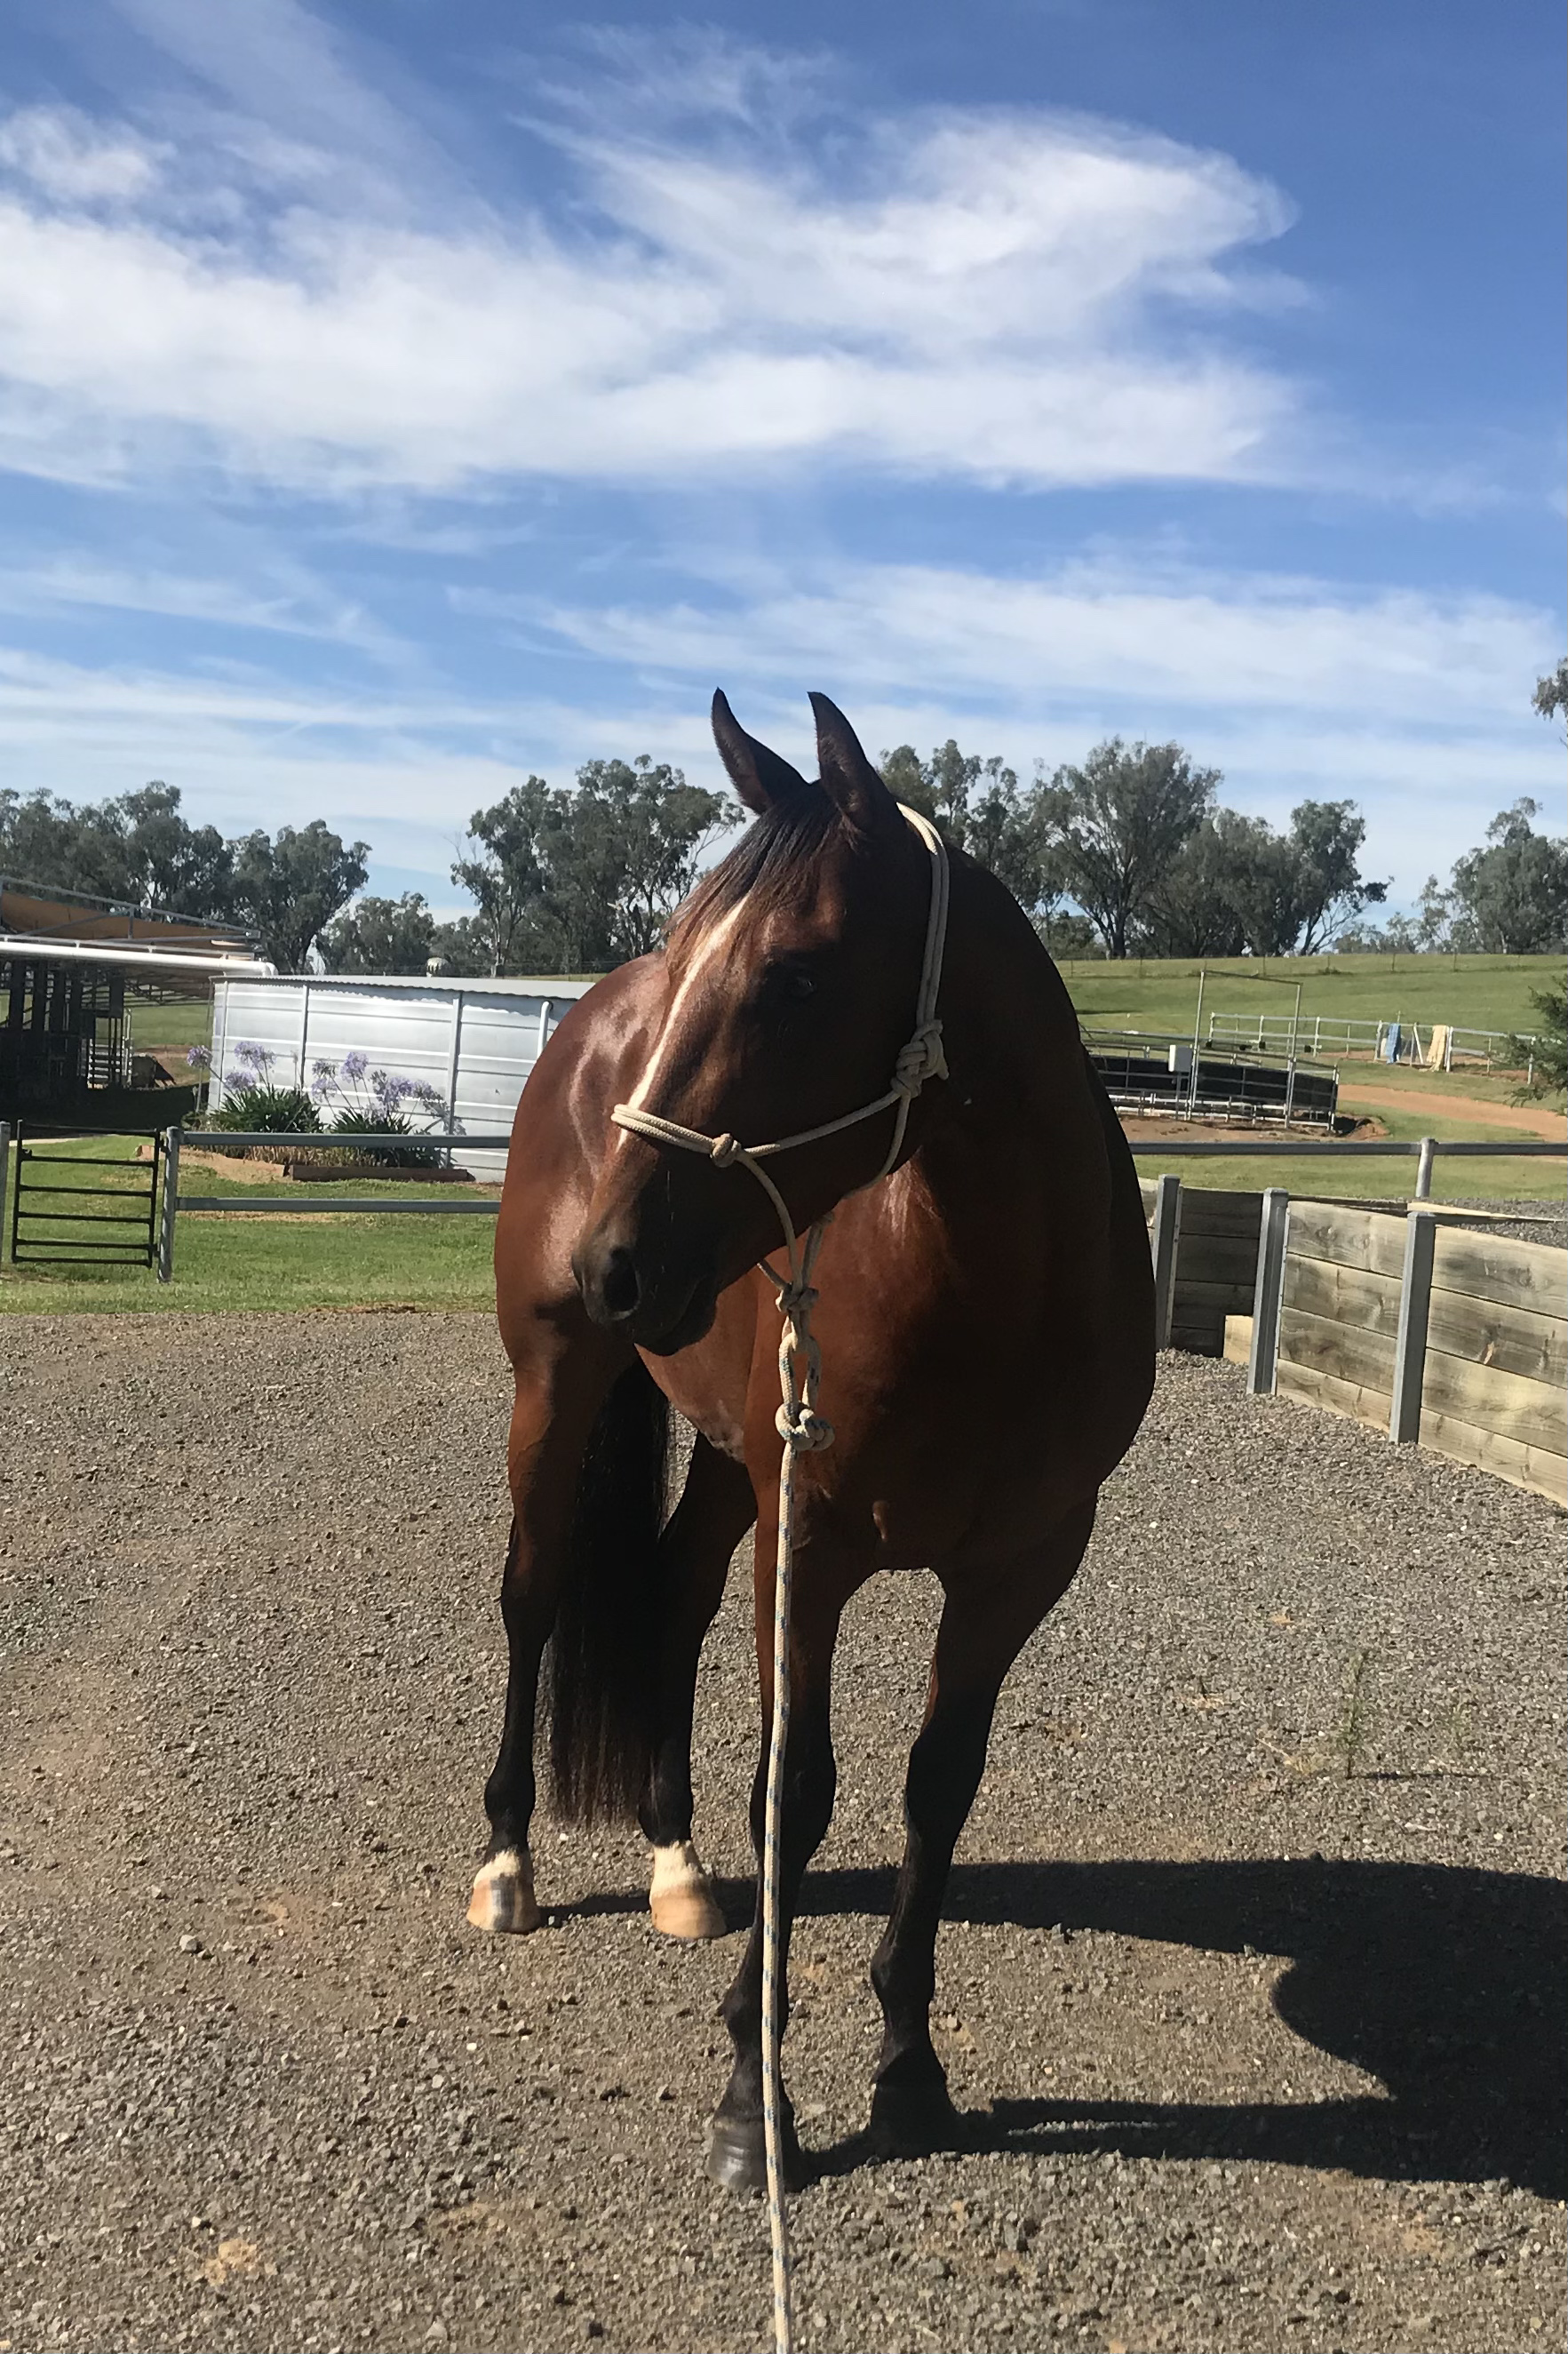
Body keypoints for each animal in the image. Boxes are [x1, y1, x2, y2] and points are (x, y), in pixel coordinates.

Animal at [467, 689, 1155, 2190]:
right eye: (691, 963)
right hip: (558, 1388)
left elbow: (937, 1790)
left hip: (734, 1450)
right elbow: (797, 1791)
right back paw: (505, 1864)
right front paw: (753, 2097)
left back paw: (672, 1861)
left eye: (792, 978)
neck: (989, 1293)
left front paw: (908, 2069)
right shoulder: (812, 1547)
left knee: (670, 1591)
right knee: (532, 1594)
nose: (615, 1263)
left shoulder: (1018, 1570)